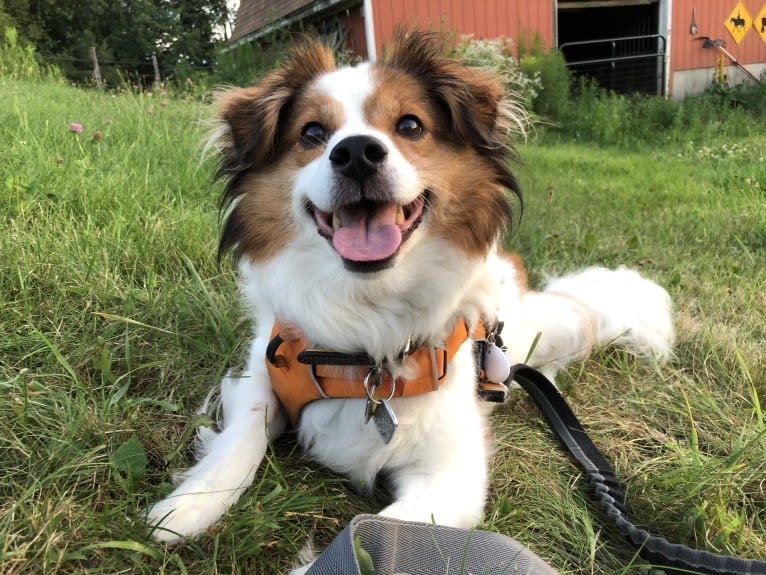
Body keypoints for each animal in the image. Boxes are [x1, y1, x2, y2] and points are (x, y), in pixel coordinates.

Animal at [147, 29, 676, 568]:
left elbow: (362, 535)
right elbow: (242, 436)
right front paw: (189, 504)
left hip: (558, 327)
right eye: (313, 134)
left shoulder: (449, 480)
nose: (357, 152)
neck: (366, 326)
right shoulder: (260, 368)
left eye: (409, 125)